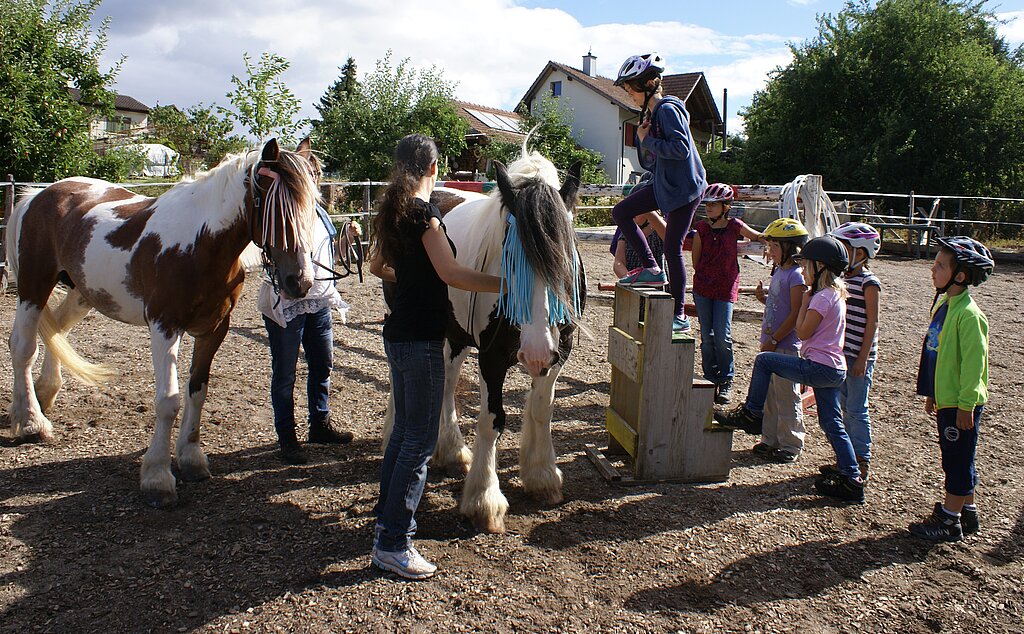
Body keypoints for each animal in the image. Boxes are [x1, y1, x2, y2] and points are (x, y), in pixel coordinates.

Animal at [6, 141, 319, 508]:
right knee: (22, 346)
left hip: (82, 292)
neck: (201, 244)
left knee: (57, 329)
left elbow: (198, 390)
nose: (300, 282)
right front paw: (157, 475)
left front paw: (191, 458)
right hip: (34, 284)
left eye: (312, 205)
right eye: (275, 210)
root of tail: (38, 196)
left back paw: (45, 394)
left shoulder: (214, 329)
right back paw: (31, 421)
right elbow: (168, 401)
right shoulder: (164, 326)